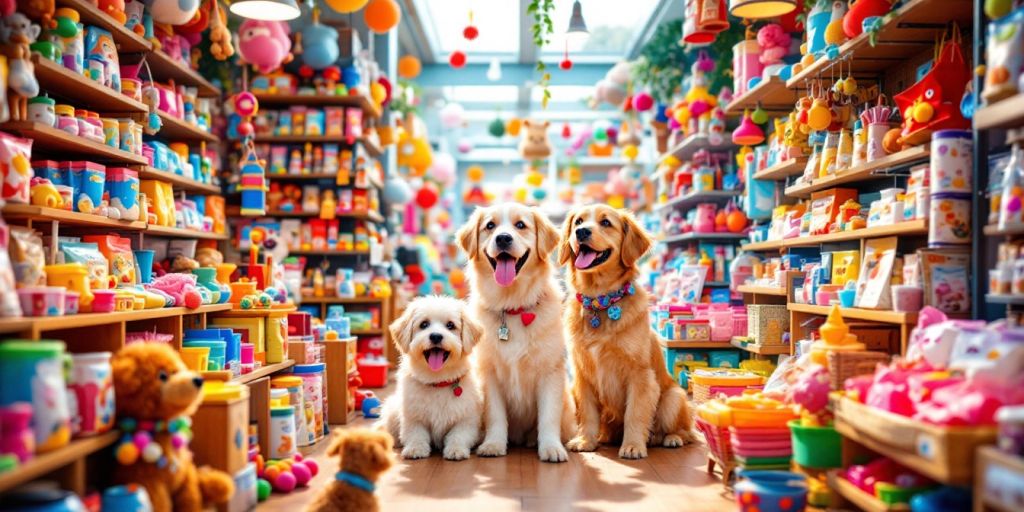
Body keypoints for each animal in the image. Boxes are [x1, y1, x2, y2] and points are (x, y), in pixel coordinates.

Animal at [380, 296, 483, 460]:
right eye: (424, 324)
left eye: (450, 325)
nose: (435, 336)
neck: (437, 380)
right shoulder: (413, 416)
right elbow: (416, 434)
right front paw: (415, 448)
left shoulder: (466, 419)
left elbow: (458, 435)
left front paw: (456, 449)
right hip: (391, 409)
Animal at [456, 203, 577, 464]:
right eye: (490, 225)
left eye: (520, 225)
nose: (503, 238)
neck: (512, 306)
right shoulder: (489, 373)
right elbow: (495, 415)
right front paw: (493, 444)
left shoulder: (550, 372)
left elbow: (548, 417)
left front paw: (551, 447)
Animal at [561, 203, 696, 460]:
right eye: (578, 222)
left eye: (605, 222)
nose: (581, 232)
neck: (601, 300)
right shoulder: (581, 375)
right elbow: (588, 413)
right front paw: (585, 440)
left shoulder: (640, 375)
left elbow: (635, 412)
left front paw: (633, 445)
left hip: (673, 398)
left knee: (687, 433)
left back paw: (670, 438)